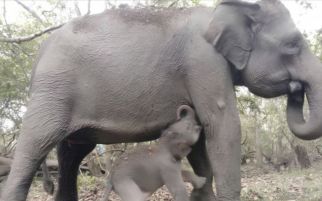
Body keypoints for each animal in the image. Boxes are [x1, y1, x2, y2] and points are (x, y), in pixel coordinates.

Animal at [1, 0, 320, 201]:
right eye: (293, 44)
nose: (296, 88)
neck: (222, 11)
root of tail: (39, 53)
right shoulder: (203, 61)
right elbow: (222, 125)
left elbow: (201, 141)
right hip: (51, 94)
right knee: (35, 146)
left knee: (71, 154)